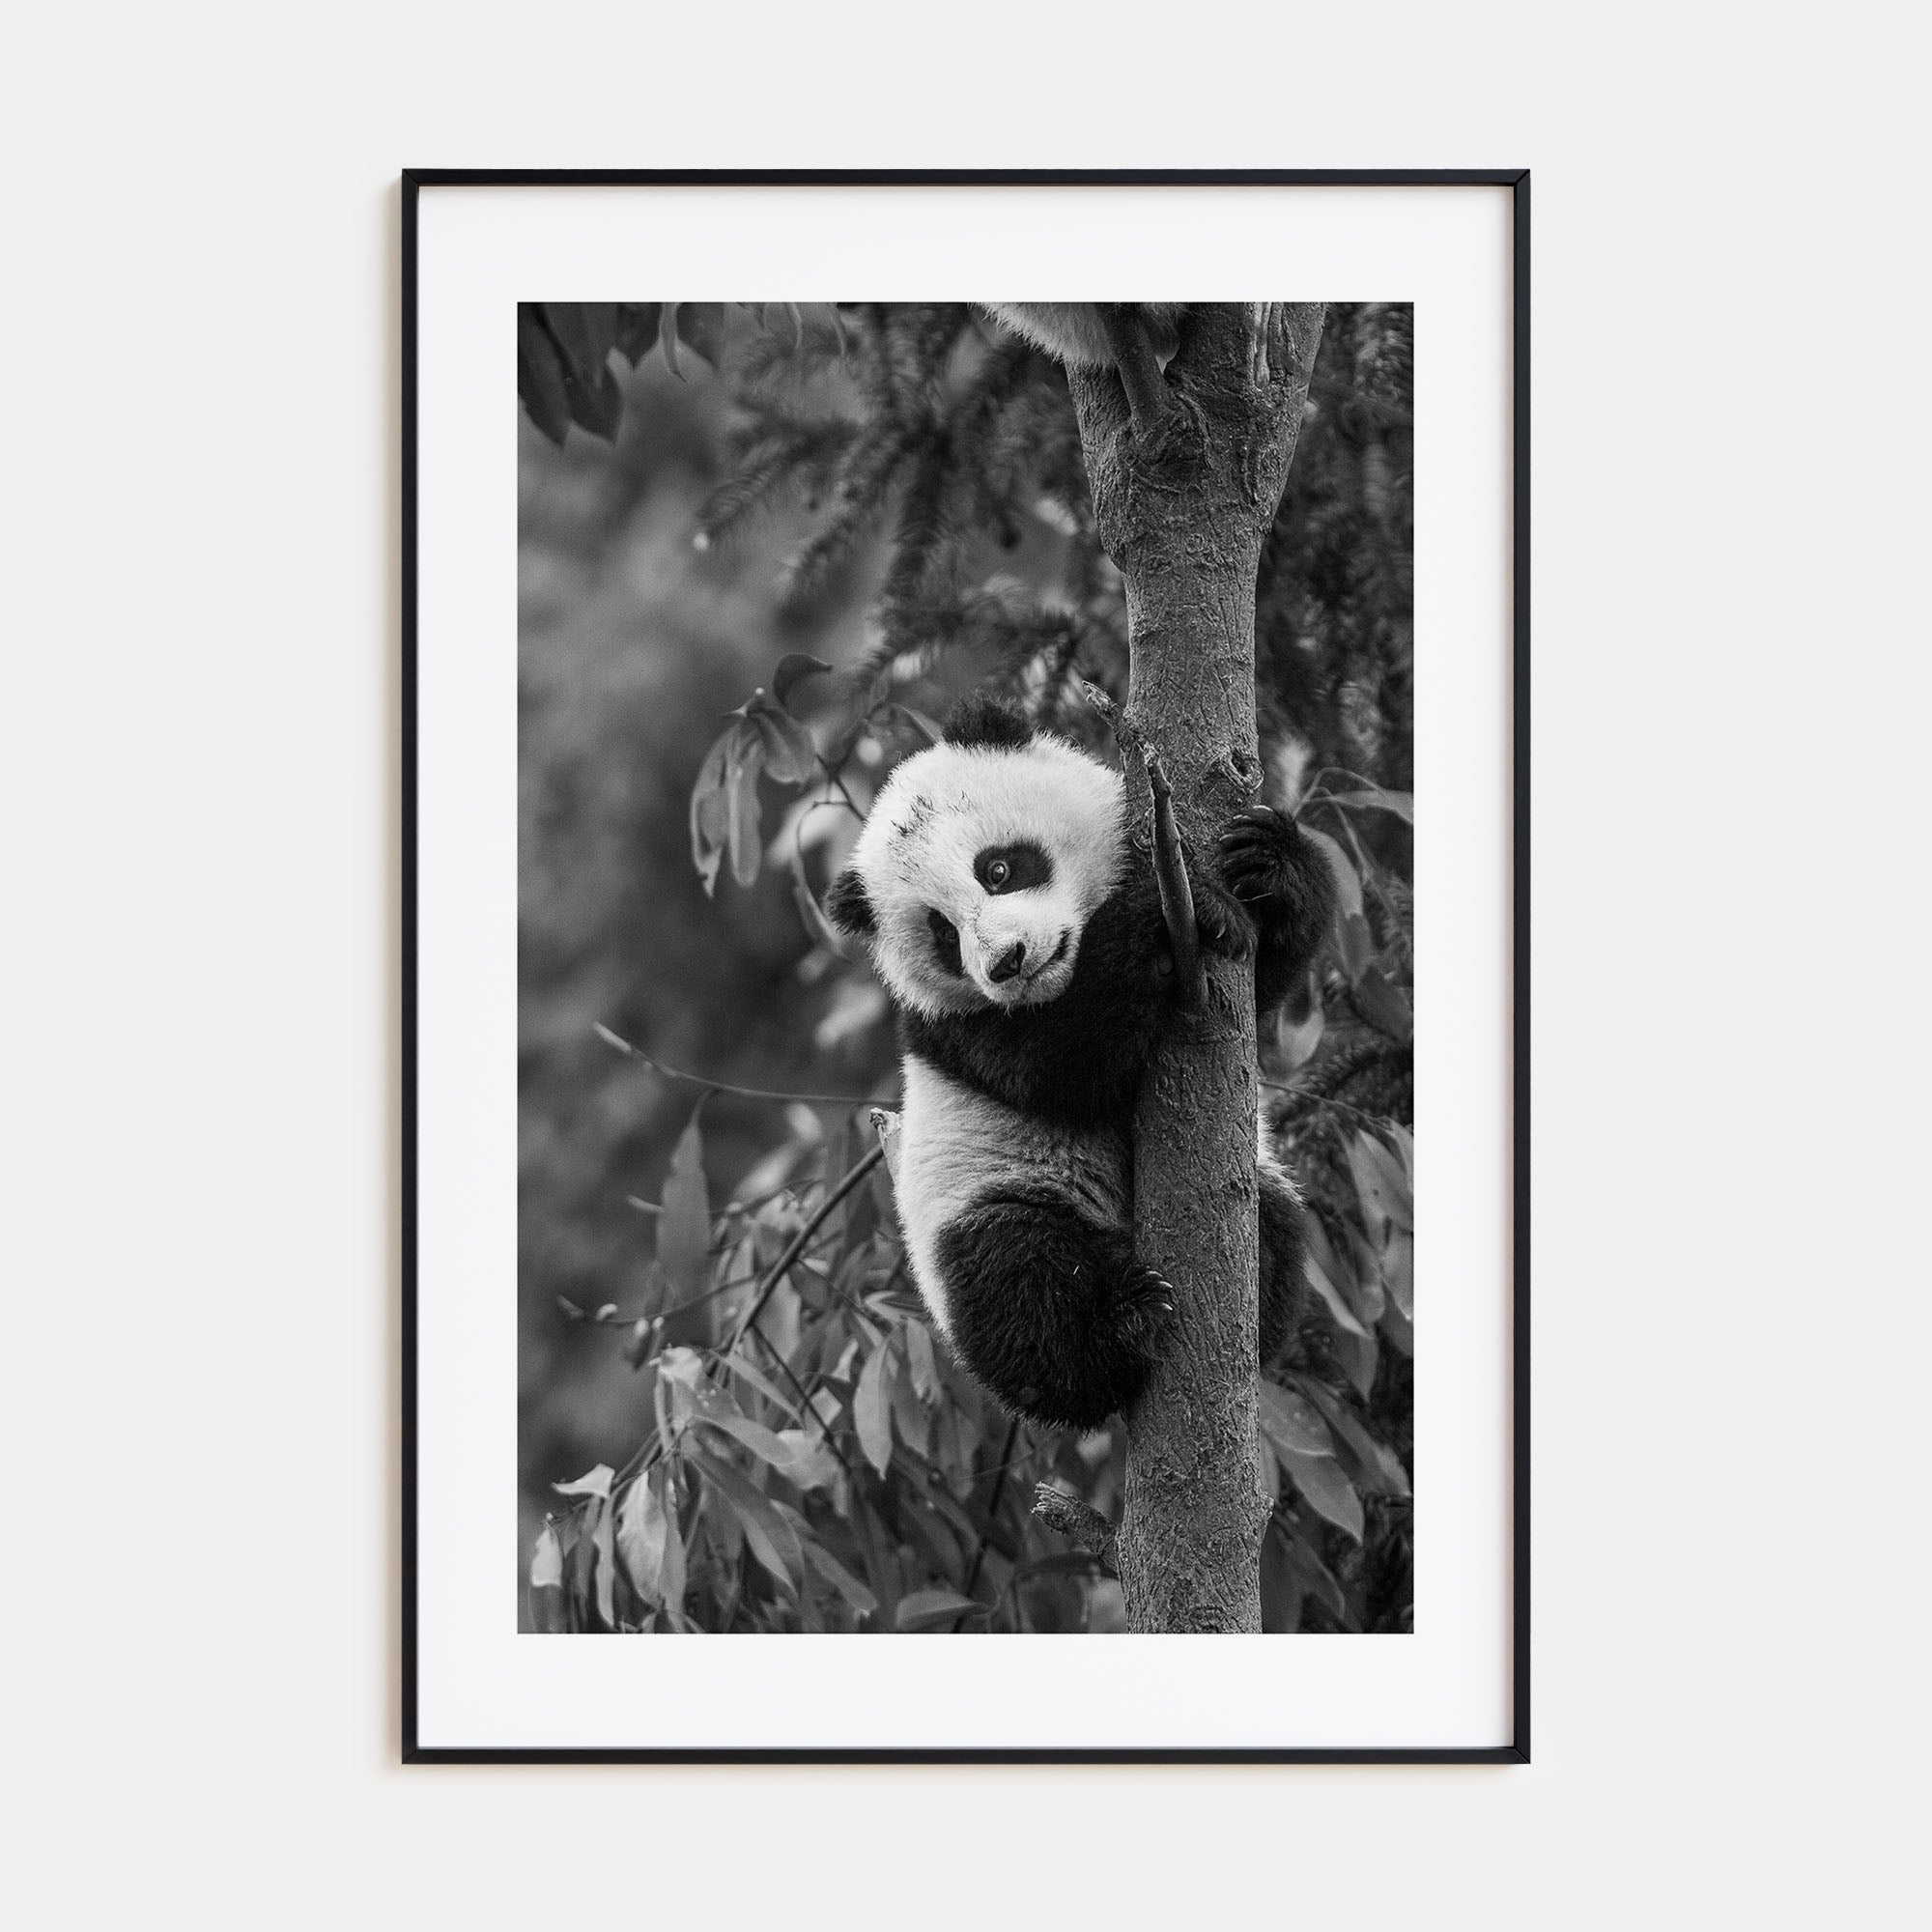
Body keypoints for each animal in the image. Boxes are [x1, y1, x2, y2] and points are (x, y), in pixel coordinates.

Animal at [824, 694, 1337, 1432]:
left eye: (998, 868)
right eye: (942, 935)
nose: (1007, 963)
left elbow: (1264, 976)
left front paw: (1265, 863)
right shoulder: (955, 1028)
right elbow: (1064, 1065)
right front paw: (1163, 917)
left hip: (1259, 1182)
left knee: (1279, 1221)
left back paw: (1254, 1306)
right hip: (986, 1198)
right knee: (1019, 1286)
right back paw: (1123, 1326)